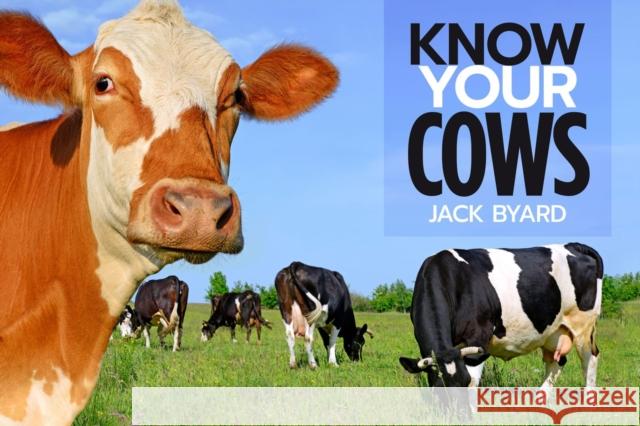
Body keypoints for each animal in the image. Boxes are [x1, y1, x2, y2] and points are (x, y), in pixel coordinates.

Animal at [399, 243, 603, 388]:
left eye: (463, 383)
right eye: (440, 386)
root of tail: (573, 245)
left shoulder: (478, 336)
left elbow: (474, 380)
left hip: (584, 328)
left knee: (590, 361)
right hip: (554, 332)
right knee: (557, 361)